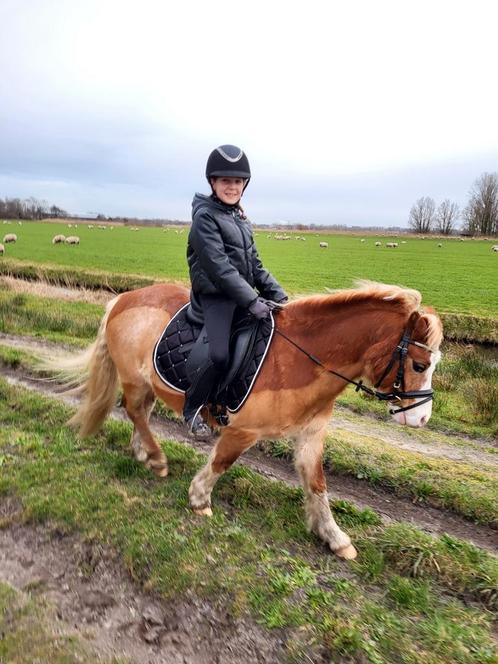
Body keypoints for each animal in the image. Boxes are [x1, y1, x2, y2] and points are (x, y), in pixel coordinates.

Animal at [52, 280, 444, 560]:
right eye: (419, 365)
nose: (422, 418)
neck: (299, 359)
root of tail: (122, 300)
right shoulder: (242, 431)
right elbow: (221, 462)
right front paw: (199, 499)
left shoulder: (311, 435)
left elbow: (317, 484)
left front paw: (334, 537)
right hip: (134, 379)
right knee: (134, 410)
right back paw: (157, 458)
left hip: (146, 382)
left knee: (141, 414)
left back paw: (143, 452)